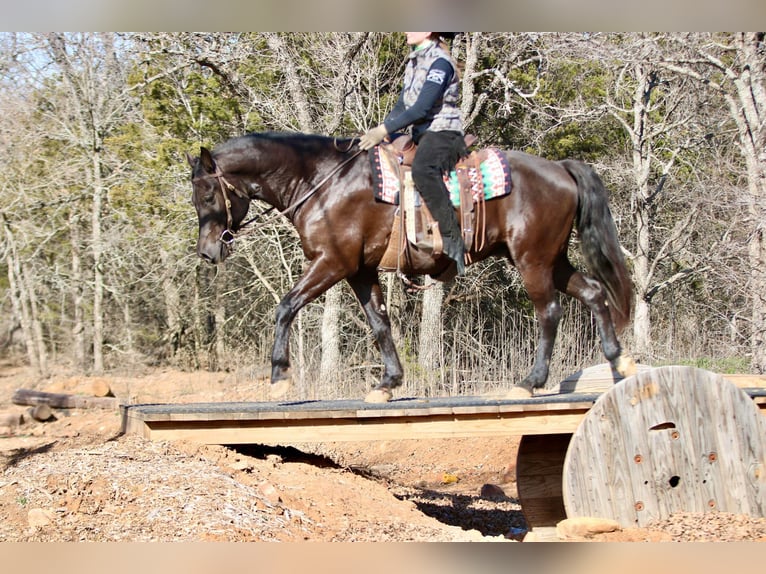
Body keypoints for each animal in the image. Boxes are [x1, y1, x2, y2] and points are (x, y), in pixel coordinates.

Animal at [188, 132, 636, 402]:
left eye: (208, 194)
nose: (207, 252)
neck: (323, 183)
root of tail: (560, 168)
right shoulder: (360, 271)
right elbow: (380, 323)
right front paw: (388, 383)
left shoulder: (332, 262)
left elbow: (285, 305)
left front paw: (280, 376)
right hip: (552, 259)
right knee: (595, 292)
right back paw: (619, 361)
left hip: (533, 259)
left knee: (550, 312)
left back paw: (530, 383)